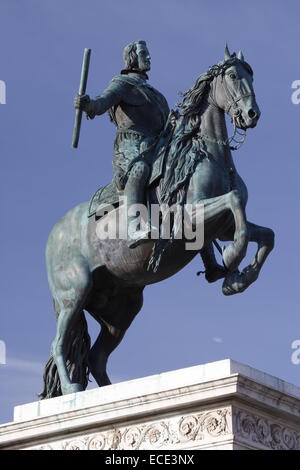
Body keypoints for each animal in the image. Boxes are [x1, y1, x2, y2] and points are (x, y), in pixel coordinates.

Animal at [40, 47, 274, 398]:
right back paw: (72, 389)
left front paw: (237, 277)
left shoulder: (222, 228)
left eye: (252, 75)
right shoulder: (189, 221)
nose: (251, 114)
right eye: (233, 76)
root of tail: (55, 234)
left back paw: (113, 393)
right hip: (74, 293)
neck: (207, 154)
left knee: (96, 357)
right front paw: (233, 262)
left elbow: (264, 234)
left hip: (121, 308)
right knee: (60, 343)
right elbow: (235, 203)